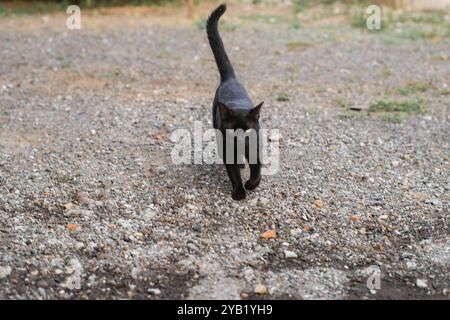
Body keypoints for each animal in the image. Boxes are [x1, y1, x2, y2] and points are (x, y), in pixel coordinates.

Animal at [207, 3, 264, 200]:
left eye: (246, 130)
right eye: (233, 130)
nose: (239, 140)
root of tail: (230, 79)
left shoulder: (255, 147)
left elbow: (257, 172)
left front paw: (251, 185)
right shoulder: (228, 149)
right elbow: (233, 174)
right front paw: (239, 191)